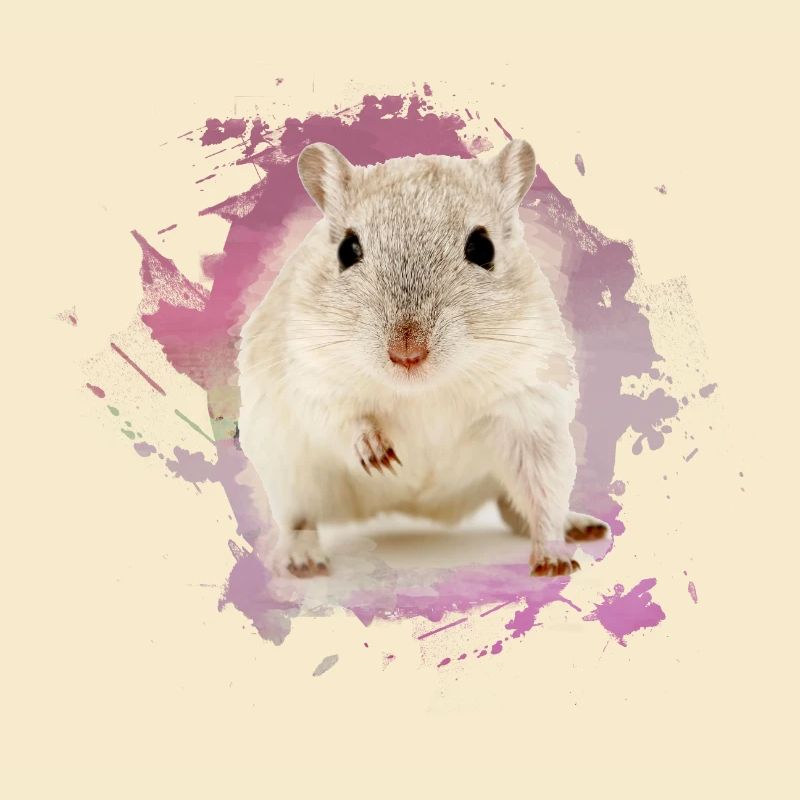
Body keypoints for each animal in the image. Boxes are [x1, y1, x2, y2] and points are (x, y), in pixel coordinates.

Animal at [236, 139, 608, 578]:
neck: (423, 390)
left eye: (483, 248)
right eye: (347, 250)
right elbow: (342, 419)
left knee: (520, 506)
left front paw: (554, 561)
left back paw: (580, 526)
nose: (407, 353)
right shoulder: (310, 377)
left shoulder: (532, 410)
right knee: (298, 519)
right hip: (288, 473)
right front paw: (378, 454)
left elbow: (544, 495)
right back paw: (303, 560)